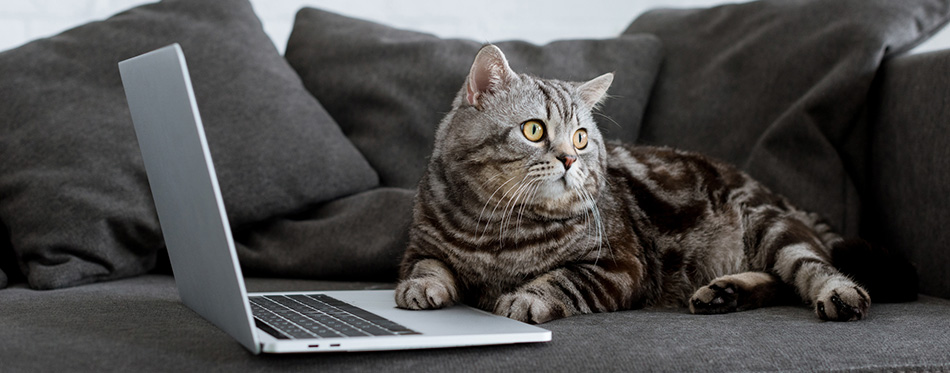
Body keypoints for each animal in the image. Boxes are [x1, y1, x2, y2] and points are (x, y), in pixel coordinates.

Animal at [396, 44, 900, 322]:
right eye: (534, 130)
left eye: (581, 138)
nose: (568, 158)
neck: (497, 229)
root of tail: (780, 196)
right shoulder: (420, 247)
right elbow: (427, 266)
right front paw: (421, 288)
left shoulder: (619, 266)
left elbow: (559, 279)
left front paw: (524, 298)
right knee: (780, 281)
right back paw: (724, 293)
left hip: (768, 225)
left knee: (812, 267)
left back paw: (839, 295)